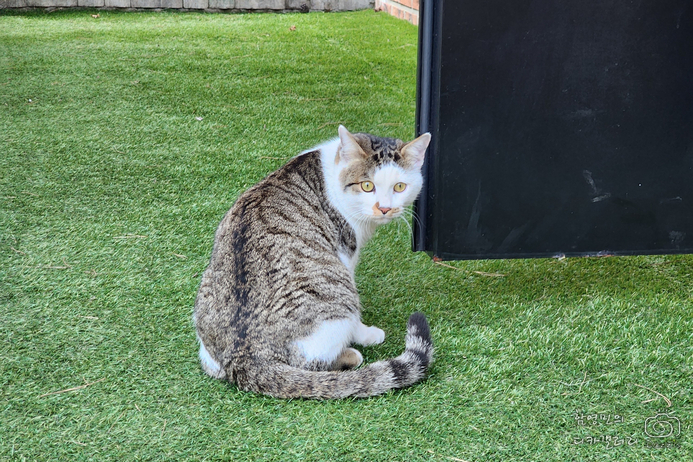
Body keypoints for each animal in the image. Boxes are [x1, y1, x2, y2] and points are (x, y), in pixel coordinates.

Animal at [193, 125, 432, 398]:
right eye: (367, 185)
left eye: (400, 187)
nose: (384, 208)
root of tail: (244, 355)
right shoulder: (345, 258)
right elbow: (356, 321)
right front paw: (367, 333)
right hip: (335, 301)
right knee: (312, 364)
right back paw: (350, 354)